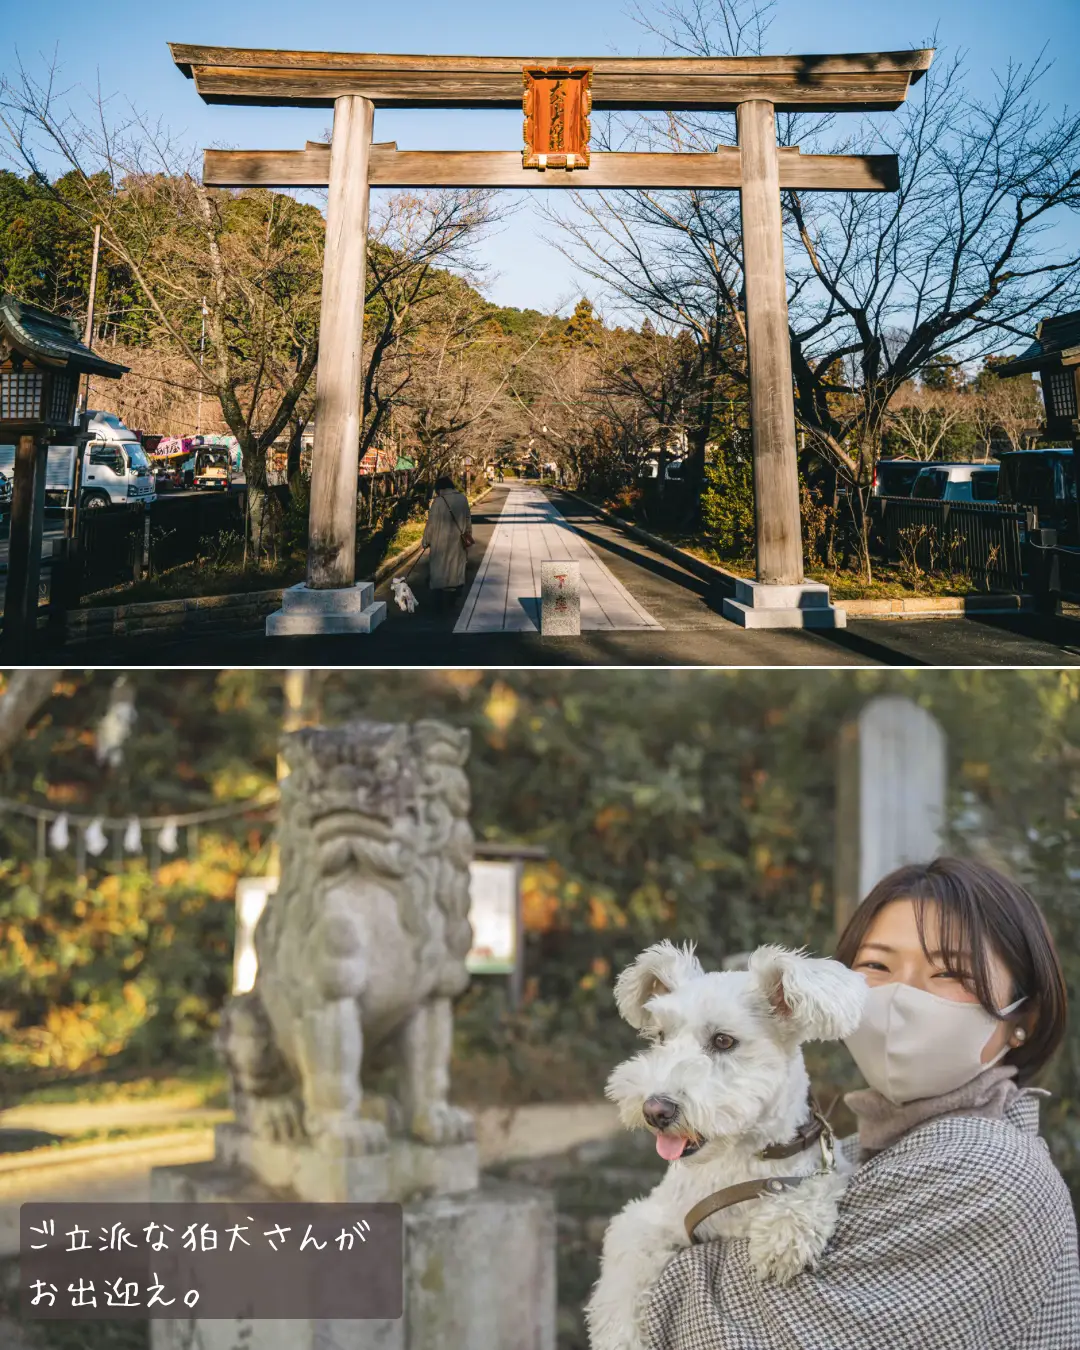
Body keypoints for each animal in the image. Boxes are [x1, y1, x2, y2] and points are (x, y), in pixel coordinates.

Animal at [585, 939, 864, 1350]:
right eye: (661, 1037)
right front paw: (619, 1335)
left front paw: (785, 1231)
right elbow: (625, 1266)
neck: (738, 1160)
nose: (655, 1110)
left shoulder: (826, 1168)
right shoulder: (654, 1217)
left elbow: (817, 1185)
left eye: (723, 1041)